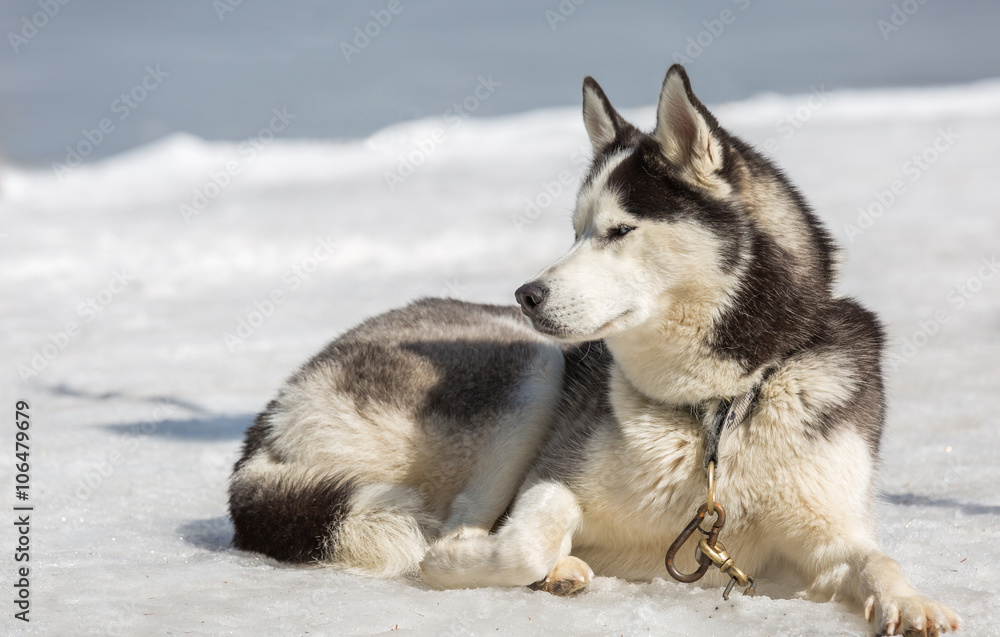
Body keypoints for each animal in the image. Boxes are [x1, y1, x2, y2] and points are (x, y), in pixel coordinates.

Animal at [229, 66, 960, 636]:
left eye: (618, 230)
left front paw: (912, 602)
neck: (717, 409)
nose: (527, 292)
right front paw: (465, 560)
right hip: (535, 368)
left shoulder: (825, 537)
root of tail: (269, 416)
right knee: (455, 515)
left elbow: (876, 559)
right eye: (576, 230)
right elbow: (528, 533)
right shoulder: (553, 474)